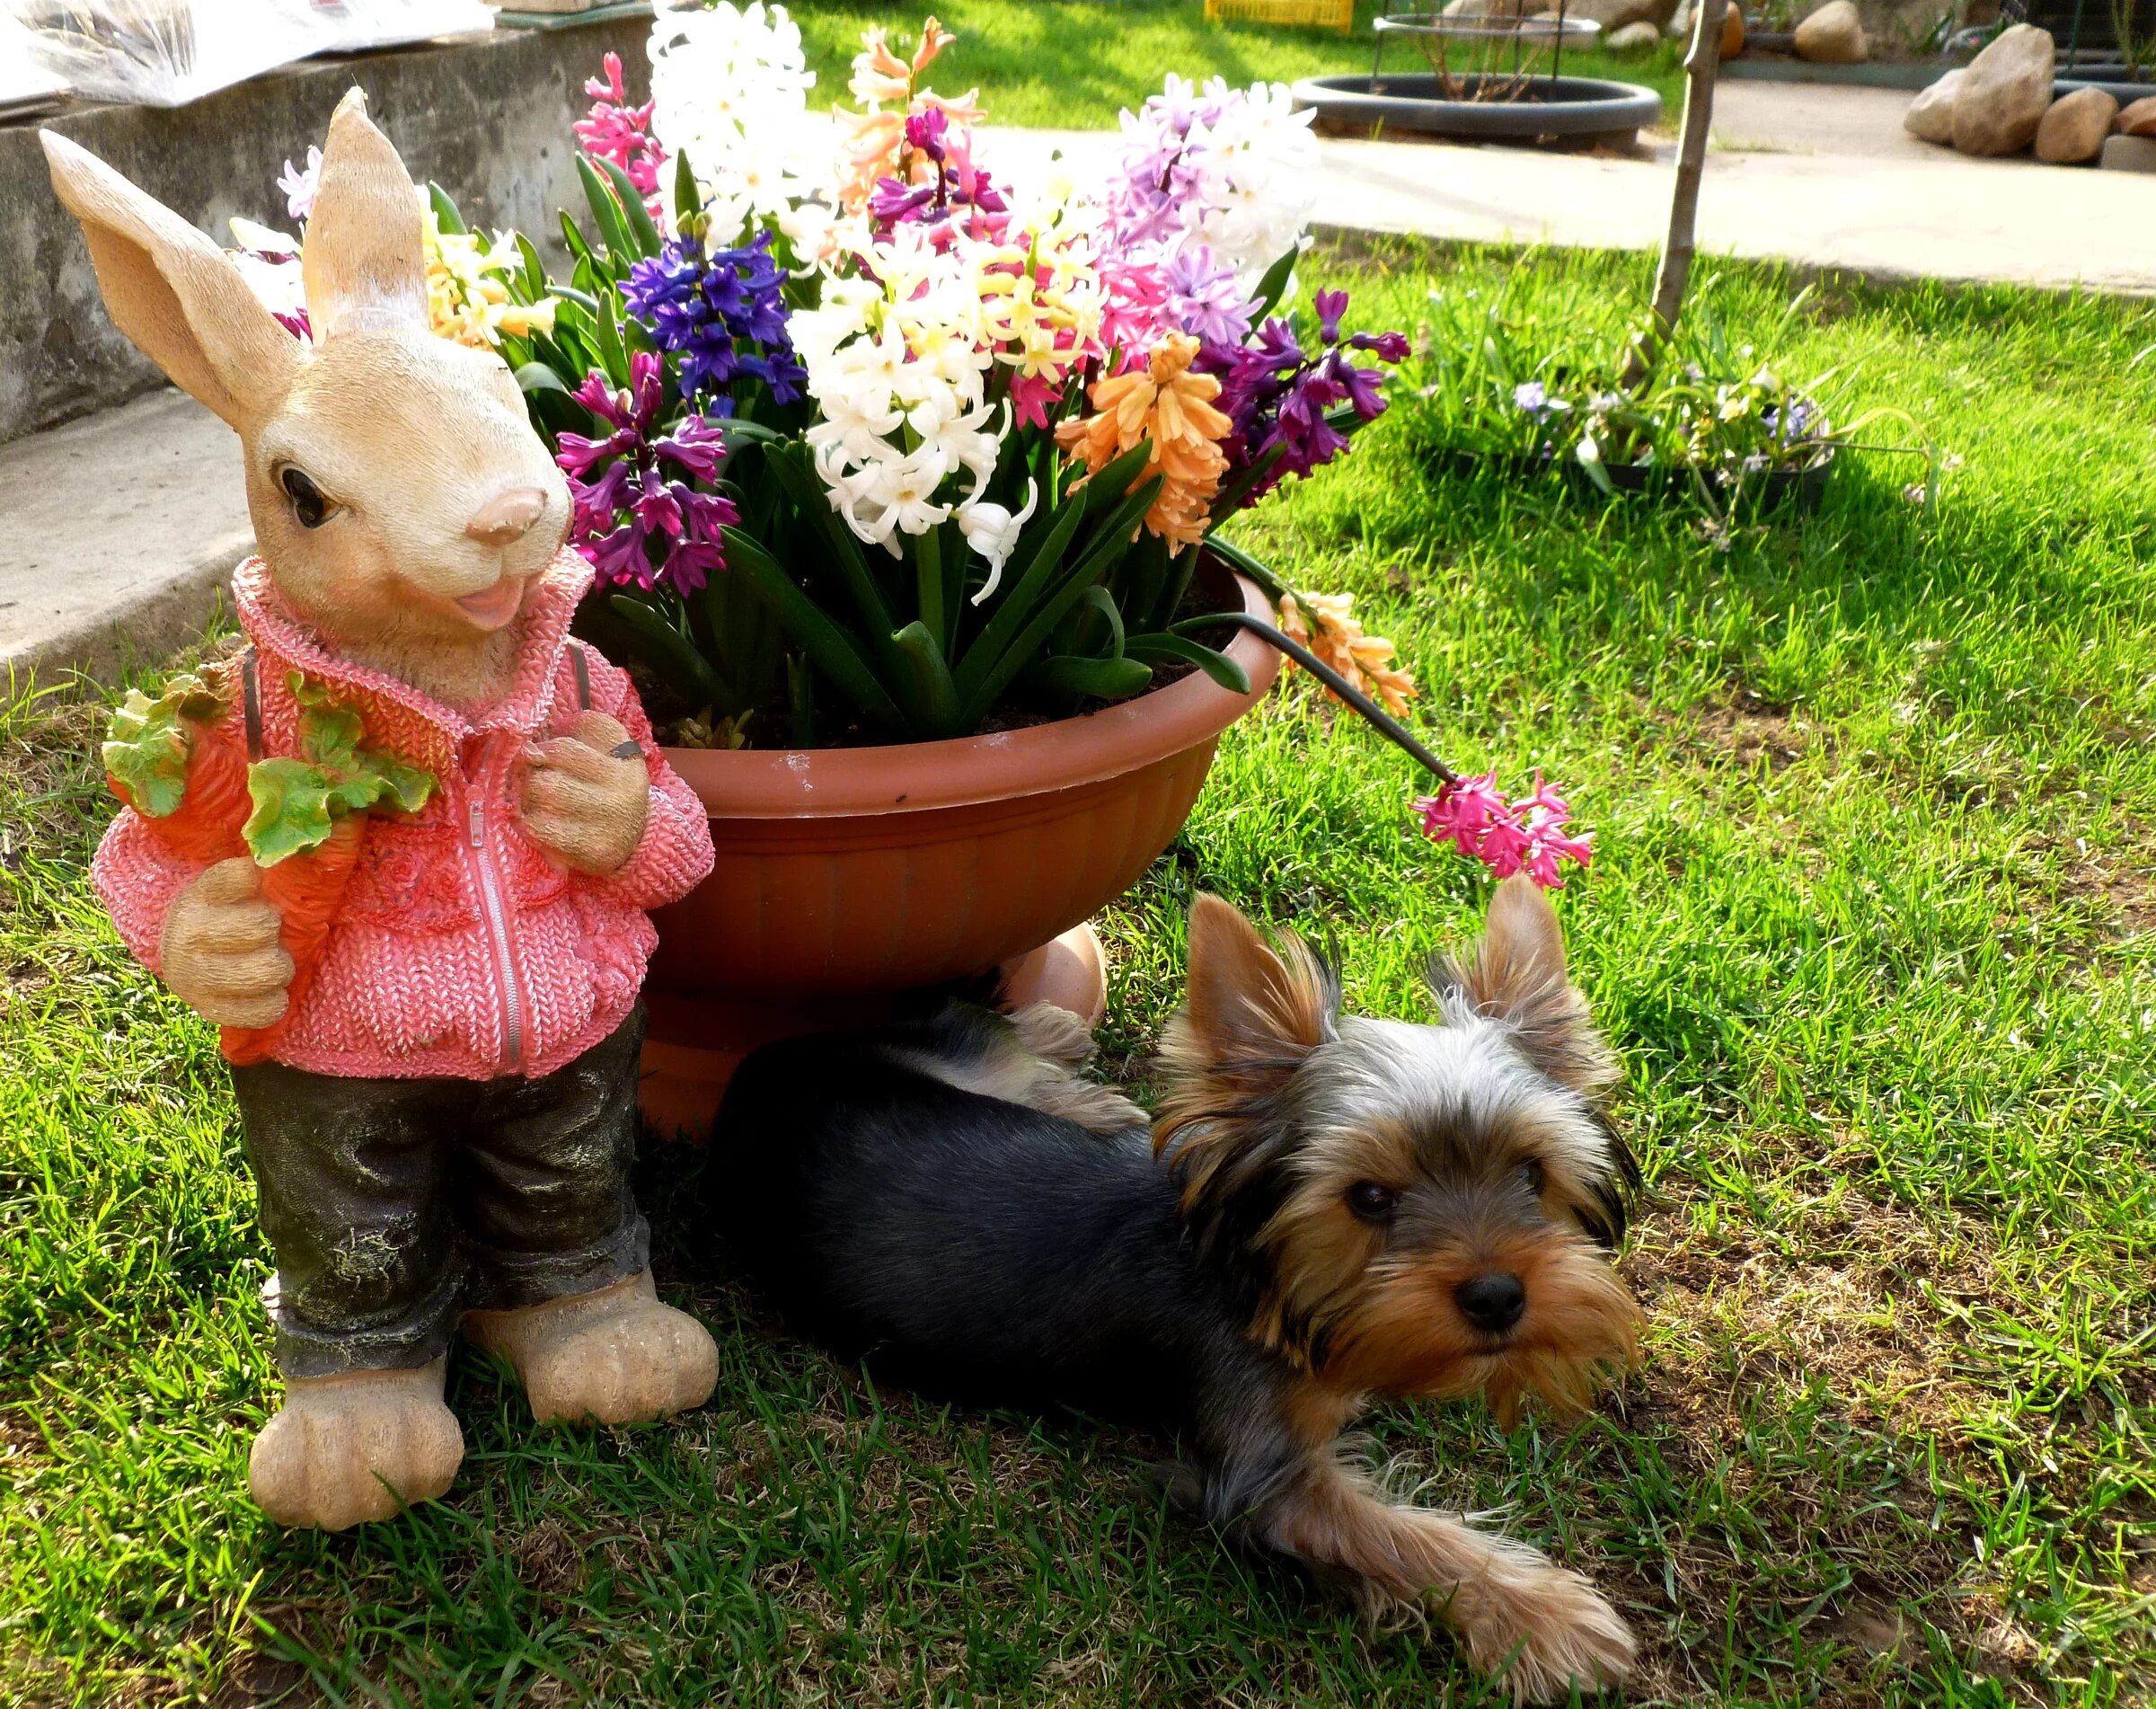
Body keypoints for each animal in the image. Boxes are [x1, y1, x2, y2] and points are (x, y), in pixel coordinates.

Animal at [715, 876, 1639, 1700]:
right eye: (1369, 1198)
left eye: (1531, 1174)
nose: (1497, 1296)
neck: (1258, 1269)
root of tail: (756, 1075)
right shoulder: (1263, 1480)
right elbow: (1404, 1540)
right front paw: (1549, 1618)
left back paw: (1067, 1047)